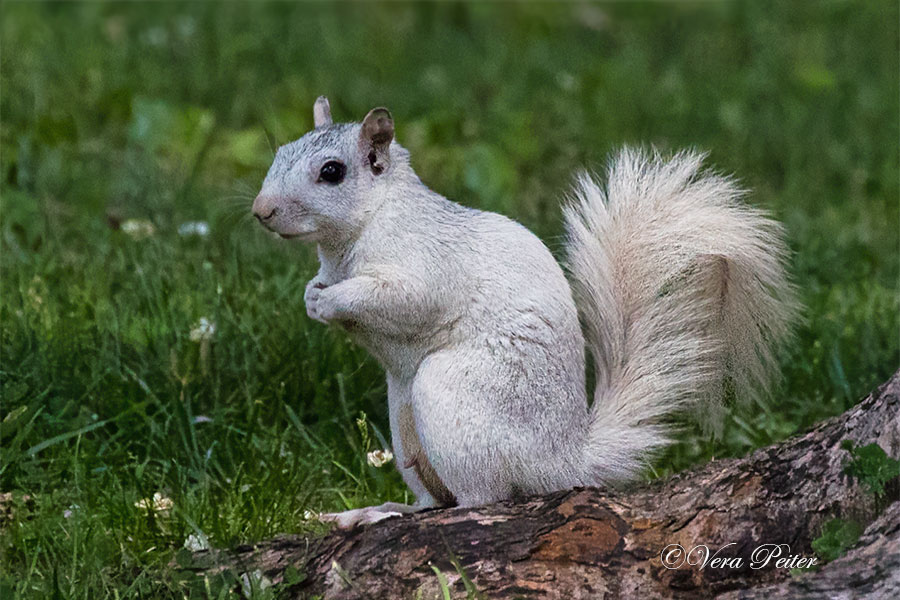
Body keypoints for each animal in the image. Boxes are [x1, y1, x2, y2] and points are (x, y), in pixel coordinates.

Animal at [251, 96, 796, 528]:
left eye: (332, 172)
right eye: (279, 152)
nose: (261, 211)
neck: (352, 237)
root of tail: (563, 462)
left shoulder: (424, 264)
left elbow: (406, 300)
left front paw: (329, 300)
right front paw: (312, 293)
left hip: (452, 399)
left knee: (480, 498)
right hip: (403, 422)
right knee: (431, 499)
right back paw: (377, 512)